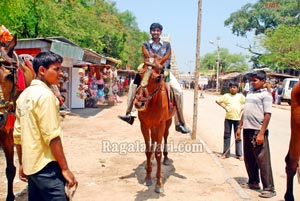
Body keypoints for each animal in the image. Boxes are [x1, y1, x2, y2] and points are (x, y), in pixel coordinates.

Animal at [134, 46, 176, 194]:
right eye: (139, 74)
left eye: (158, 78)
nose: (139, 103)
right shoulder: (144, 125)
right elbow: (147, 150)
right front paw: (148, 177)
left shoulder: (161, 124)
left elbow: (158, 153)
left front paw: (159, 183)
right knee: (153, 138)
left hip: (168, 123)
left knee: (165, 137)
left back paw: (166, 157)